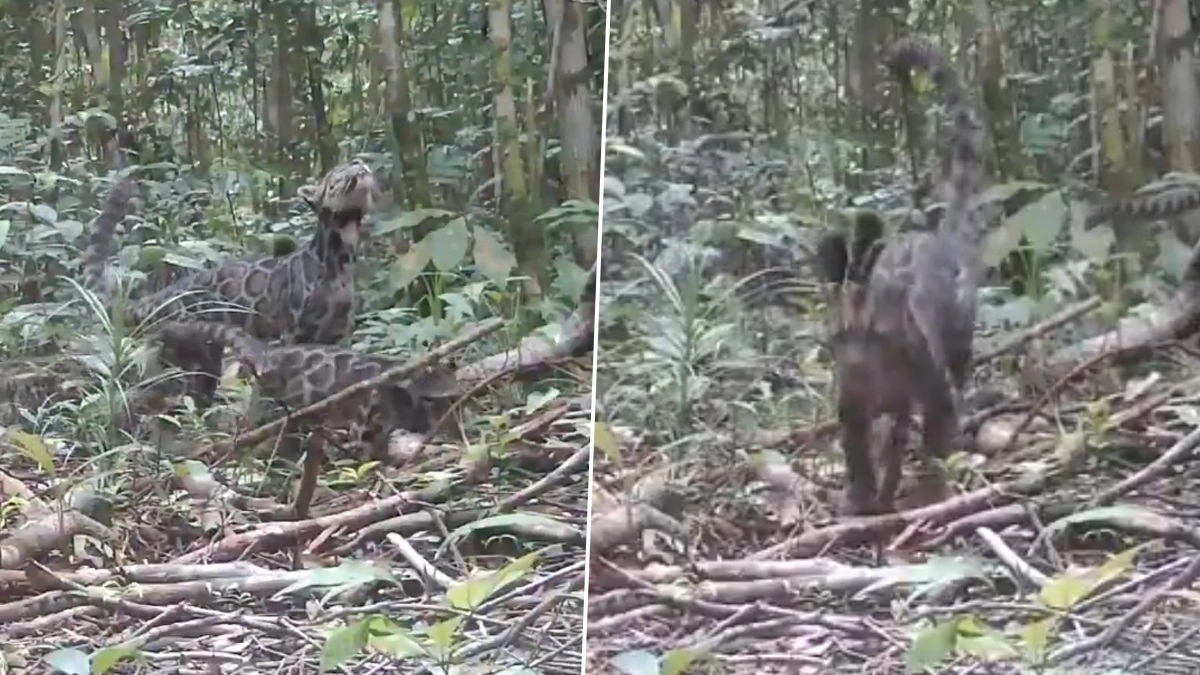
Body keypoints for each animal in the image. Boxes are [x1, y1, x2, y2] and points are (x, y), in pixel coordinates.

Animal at [83, 159, 381, 410]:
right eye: (336, 172)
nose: (358, 161)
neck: (342, 256)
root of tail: (161, 295)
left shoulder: (340, 332)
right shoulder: (295, 331)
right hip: (195, 349)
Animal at [814, 37, 986, 517]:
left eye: (875, 332)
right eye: (839, 336)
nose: (856, 364)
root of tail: (939, 235)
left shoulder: (929, 383)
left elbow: (935, 435)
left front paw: (929, 493)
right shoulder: (851, 403)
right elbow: (857, 451)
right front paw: (860, 499)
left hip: (959, 333)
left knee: (956, 382)